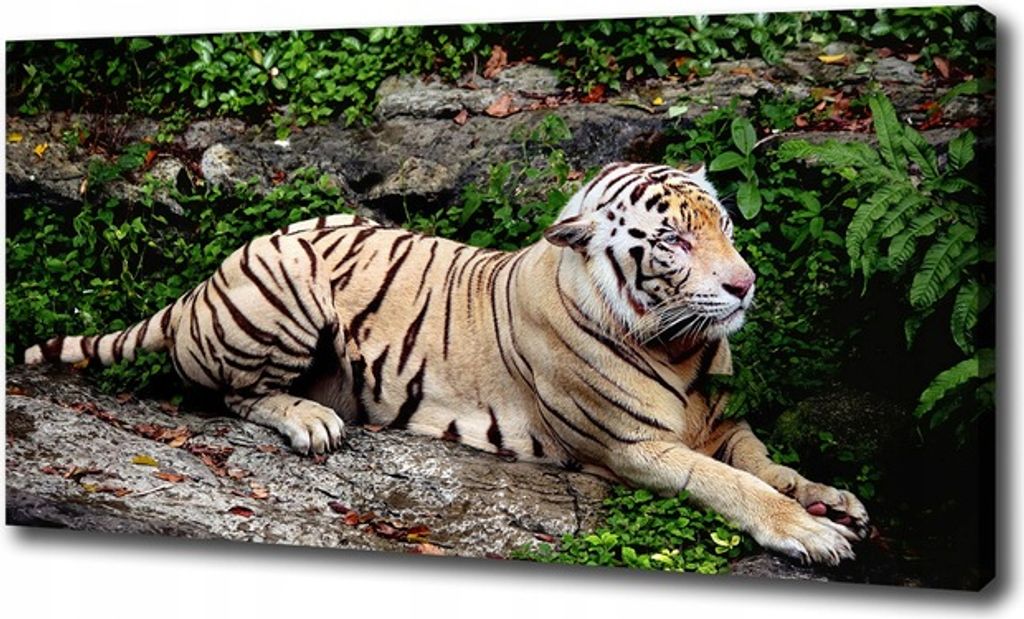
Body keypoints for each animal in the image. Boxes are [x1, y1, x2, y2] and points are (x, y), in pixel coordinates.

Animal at [24, 161, 869, 565]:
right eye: (672, 241)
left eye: (721, 222)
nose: (744, 284)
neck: (683, 342)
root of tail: (199, 284)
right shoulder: (634, 448)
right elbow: (732, 484)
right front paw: (810, 531)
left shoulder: (724, 421)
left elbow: (767, 460)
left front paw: (833, 498)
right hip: (287, 285)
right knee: (235, 394)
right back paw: (313, 419)